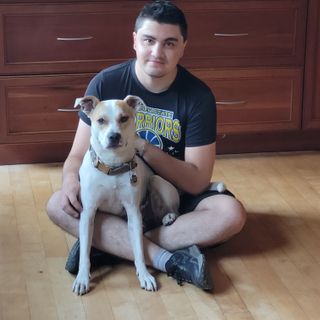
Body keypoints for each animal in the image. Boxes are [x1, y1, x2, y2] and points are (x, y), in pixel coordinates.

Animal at [72, 95, 180, 296]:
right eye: (101, 120)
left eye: (124, 118)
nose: (114, 136)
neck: (112, 166)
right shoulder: (88, 213)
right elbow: (85, 253)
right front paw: (82, 278)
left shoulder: (133, 213)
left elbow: (139, 250)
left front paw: (144, 275)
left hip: (156, 181)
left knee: (174, 209)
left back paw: (169, 217)